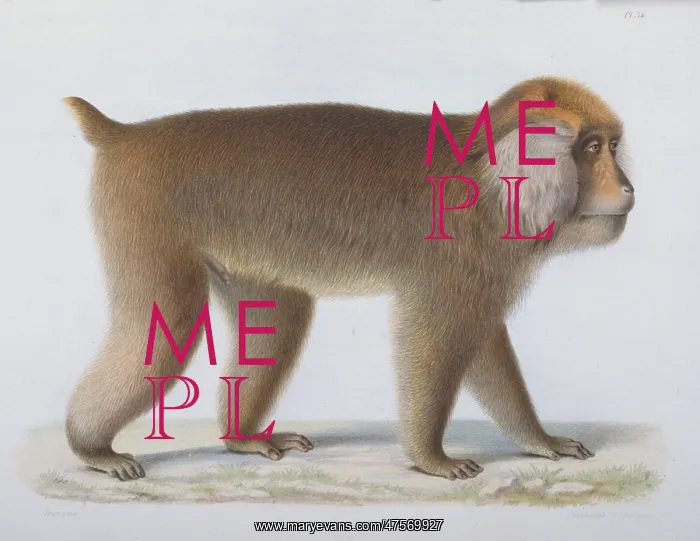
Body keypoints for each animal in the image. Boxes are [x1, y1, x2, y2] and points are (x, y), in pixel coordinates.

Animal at [62, 76, 634, 481]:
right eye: (591, 148)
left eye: (612, 146)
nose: (627, 186)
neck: (492, 177)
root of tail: (128, 134)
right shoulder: (460, 245)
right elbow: (437, 338)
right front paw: (432, 458)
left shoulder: (488, 256)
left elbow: (481, 342)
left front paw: (541, 440)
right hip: (142, 208)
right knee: (168, 320)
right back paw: (91, 449)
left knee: (279, 316)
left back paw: (241, 437)